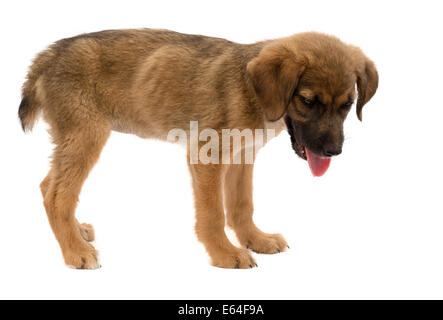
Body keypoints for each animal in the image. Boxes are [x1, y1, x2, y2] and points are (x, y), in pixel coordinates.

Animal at [20, 29, 378, 270]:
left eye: (348, 105)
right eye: (307, 101)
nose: (333, 151)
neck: (251, 91)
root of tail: (48, 56)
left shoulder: (242, 158)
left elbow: (241, 206)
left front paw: (255, 240)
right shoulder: (207, 156)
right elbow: (213, 214)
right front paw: (225, 254)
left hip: (73, 139)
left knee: (48, 185)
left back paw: (77, 232)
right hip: (86, 136)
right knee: (57, 195)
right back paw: (75, 251)